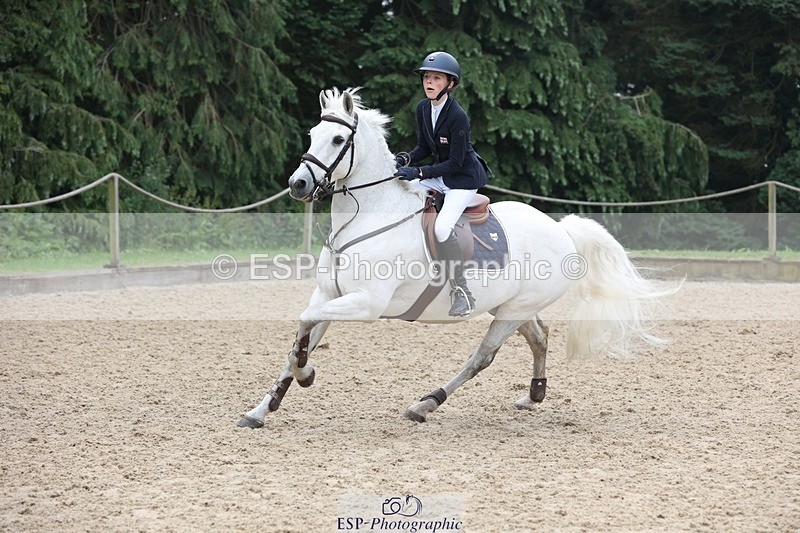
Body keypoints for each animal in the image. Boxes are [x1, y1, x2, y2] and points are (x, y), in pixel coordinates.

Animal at [237, 87, 678, 428]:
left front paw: (306, 374)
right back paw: (533, 396)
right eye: (313, 133)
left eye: (334, 140)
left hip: (511, 311)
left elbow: (304, 326)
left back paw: (425, 404)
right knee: (539, 336)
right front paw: (262, 409)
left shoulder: (365, 303)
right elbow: (301, 335)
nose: (297, 184)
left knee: (482, 357)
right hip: (510, 305)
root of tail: (562, 229)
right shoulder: (330, 295)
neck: (367, 217)